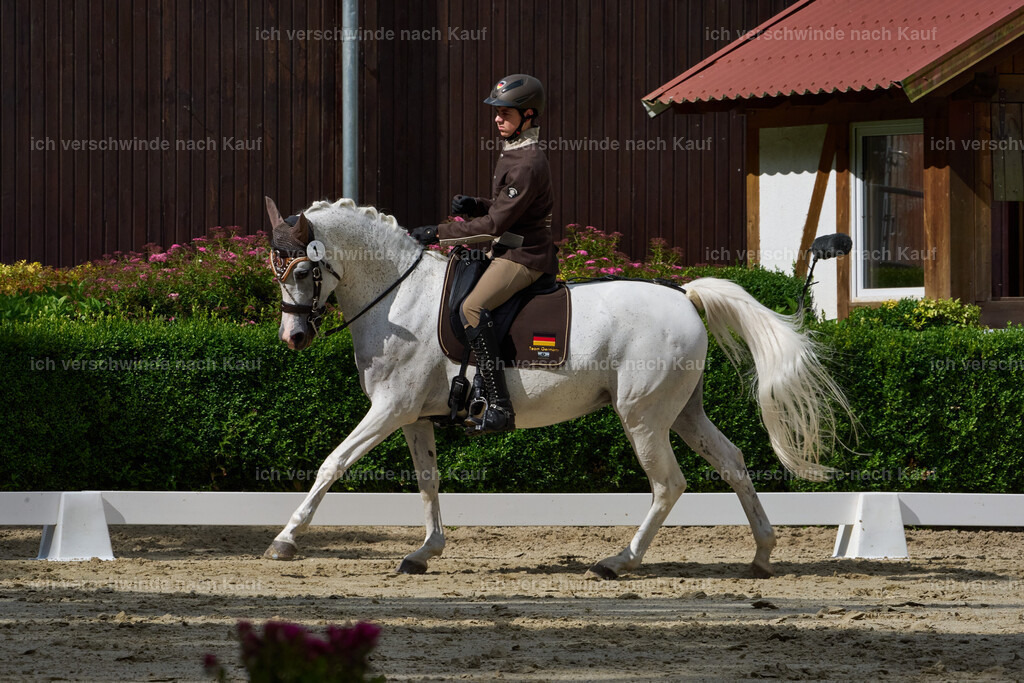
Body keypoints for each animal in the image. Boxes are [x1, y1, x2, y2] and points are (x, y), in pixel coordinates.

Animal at [264, 196, 847, 577]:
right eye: (275, 271)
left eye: (302, 271)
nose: (294, 337)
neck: (398, 296)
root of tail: (683, 293)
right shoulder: (413, 416)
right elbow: (428, 482)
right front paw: (425, 552)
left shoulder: (389, 408)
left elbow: (333, 464)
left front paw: (285, 539)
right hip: (683, 412)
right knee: (732, 461)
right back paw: (762, 554)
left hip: (642, 417)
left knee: (669, 484)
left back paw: (619, 561)